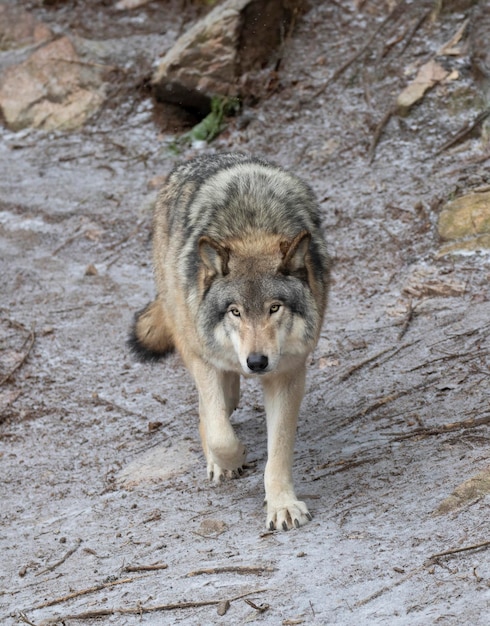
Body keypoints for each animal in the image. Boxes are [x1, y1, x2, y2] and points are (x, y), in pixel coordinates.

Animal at [129, 151, 330, 528]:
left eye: (274, 308)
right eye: (235, 311)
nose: (256, 362)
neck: (251, 229)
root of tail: (202, 156)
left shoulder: (288, 374)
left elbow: (279, 451)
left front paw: (282, 505)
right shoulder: (204, 358)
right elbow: (221, 433)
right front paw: (230, 459)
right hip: (188, 335)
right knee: (208, 410)